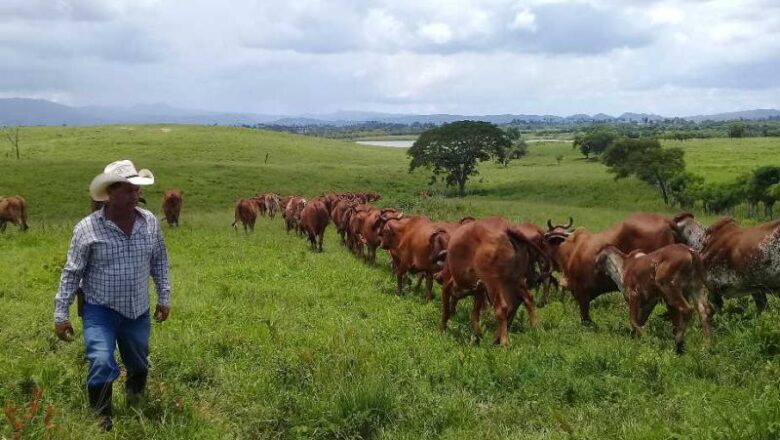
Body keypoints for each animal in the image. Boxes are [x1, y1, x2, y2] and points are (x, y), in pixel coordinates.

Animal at [436, 218, 552, 346]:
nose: (438, 277)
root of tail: (508, 229)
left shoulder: (447, 287)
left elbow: (446, 312)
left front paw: (442, 332)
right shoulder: (479, 291)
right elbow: (474, 315)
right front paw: (476, 336)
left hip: (494, 284)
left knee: (503, 308)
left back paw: (504, 342)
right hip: (514, 280)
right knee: (523, 301)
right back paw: (536, 329)